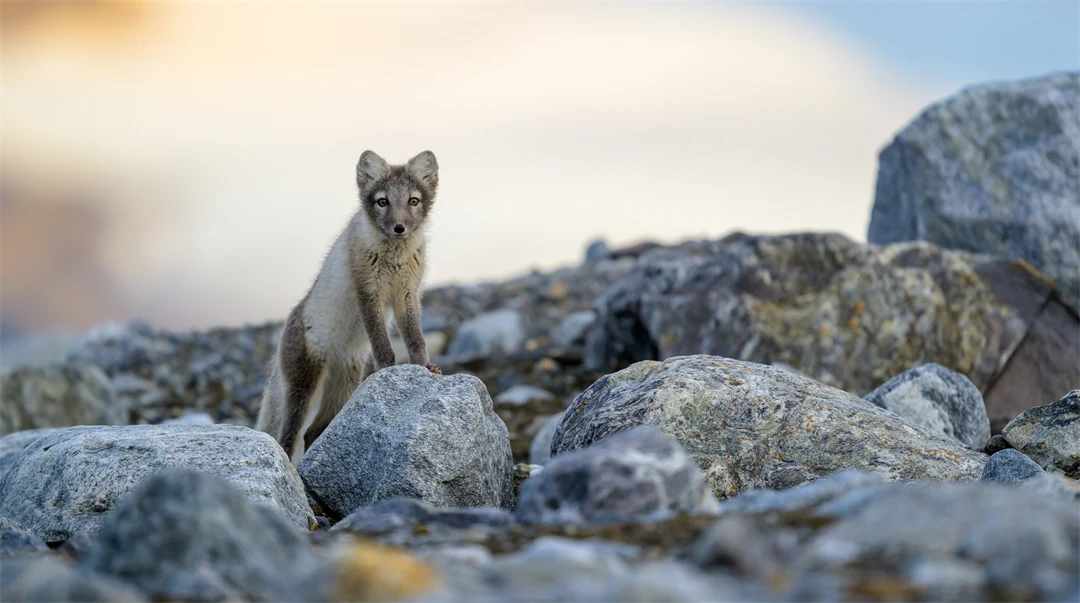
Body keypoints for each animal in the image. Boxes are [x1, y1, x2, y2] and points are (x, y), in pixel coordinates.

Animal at [257, 150, 442, 462]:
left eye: (413, 201)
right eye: (383, 201)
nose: (399, 228)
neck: (393, 257)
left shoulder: (407, 294)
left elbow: (416, 337)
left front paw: (424, 368)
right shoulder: (368, 292)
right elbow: (381, 342)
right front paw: (387, 371)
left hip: (342, 389)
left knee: (313, 433)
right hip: (304, 387)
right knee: (289, 437)